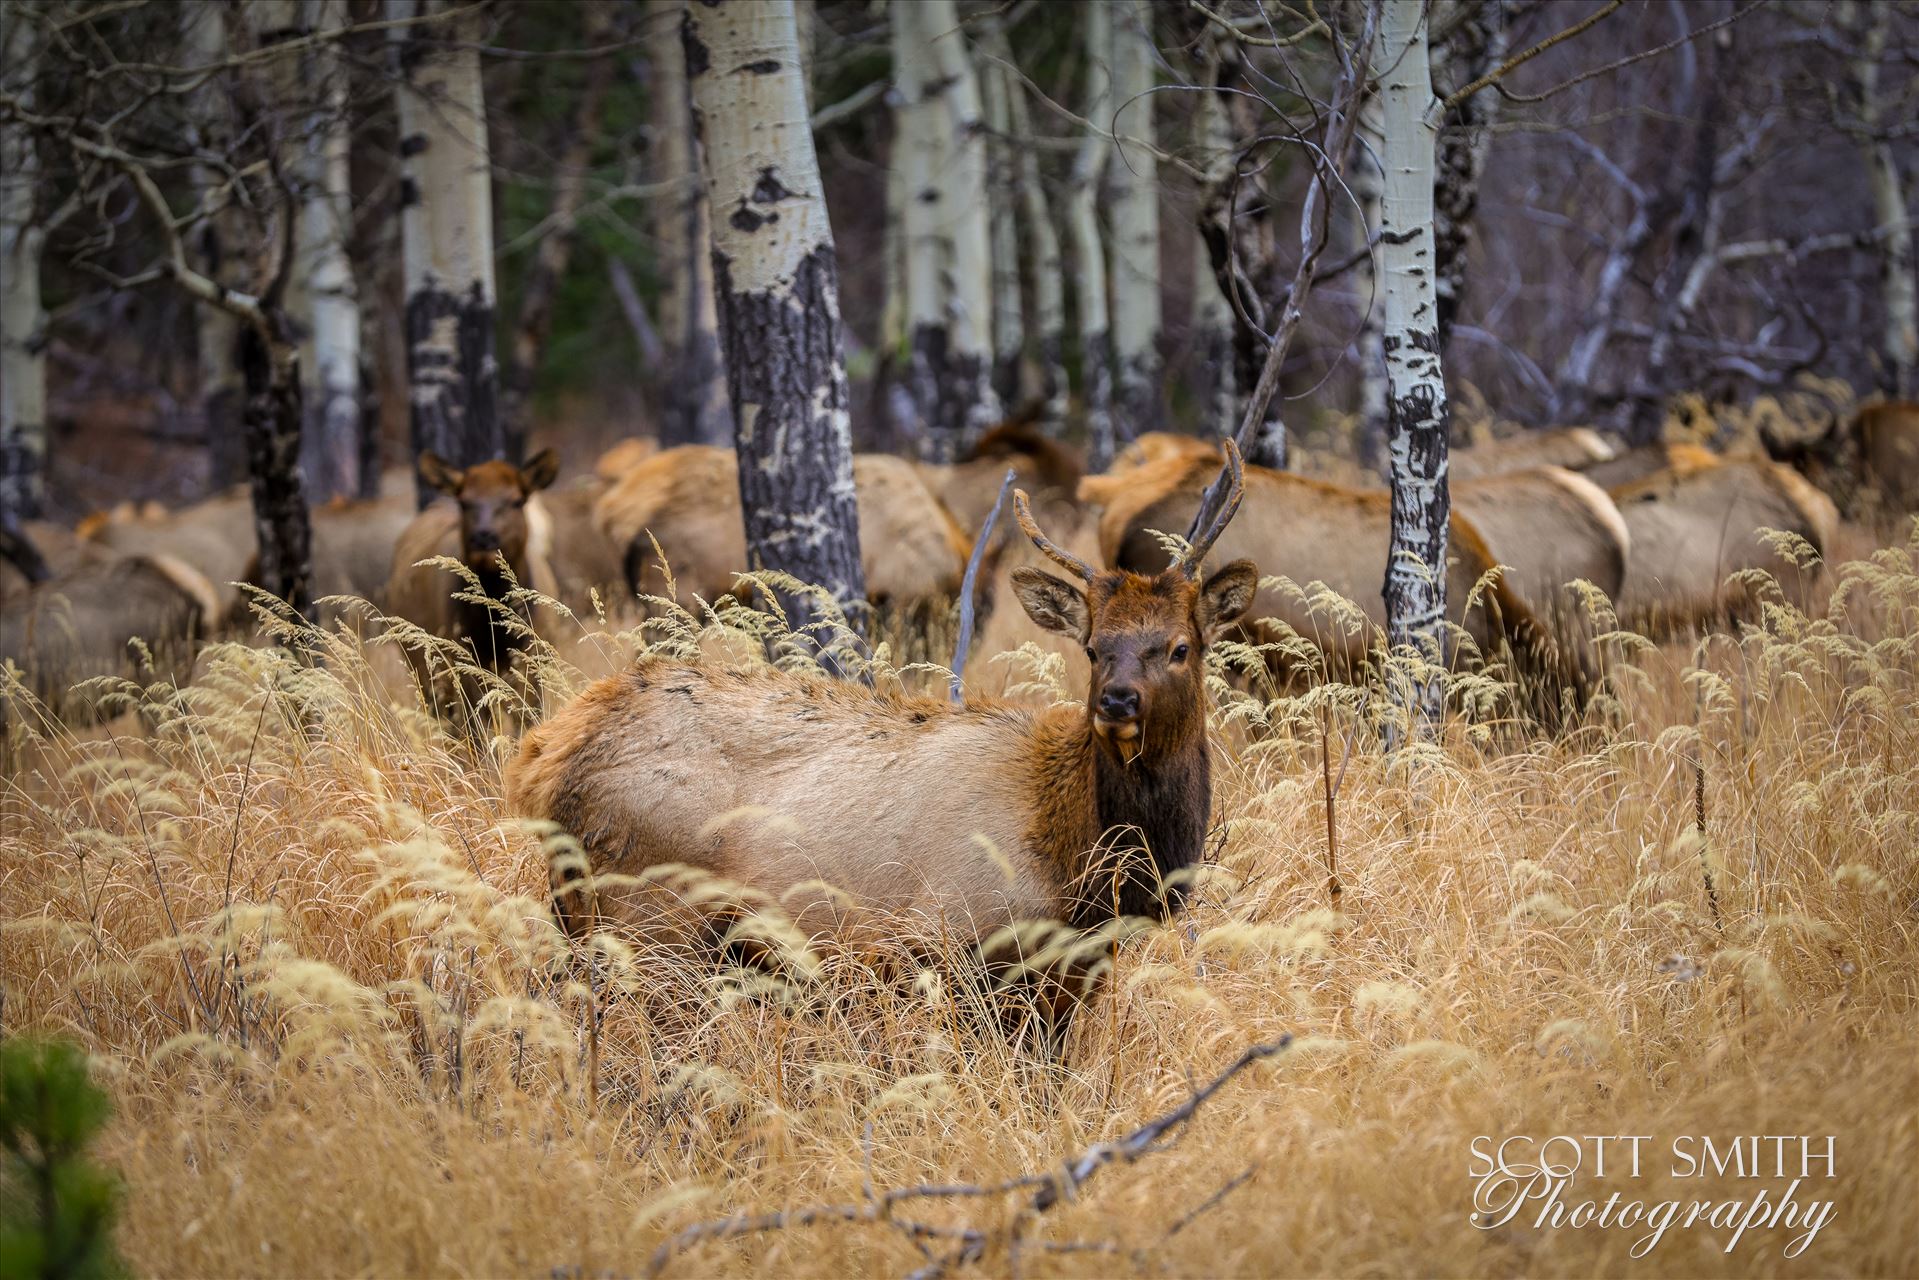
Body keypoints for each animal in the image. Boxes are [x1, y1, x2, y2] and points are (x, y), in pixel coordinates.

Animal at [510, 445, 1258, 1028]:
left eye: (1180, 647)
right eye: (1095, 647)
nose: (1116, 701)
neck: (1084, 863)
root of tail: (544, 758)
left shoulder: (1073, 969)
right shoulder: (963, 944)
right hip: (644, 919)